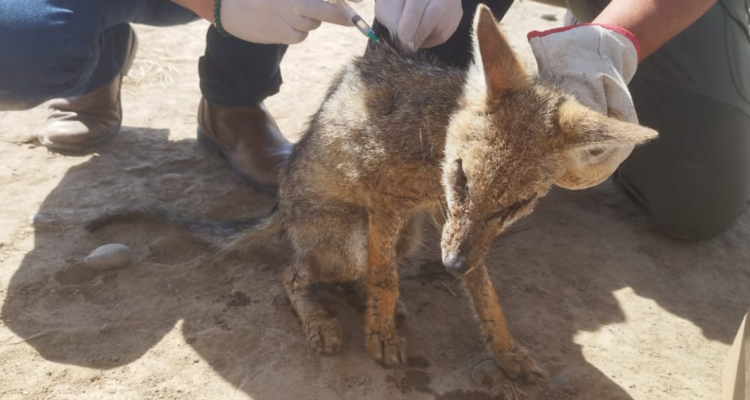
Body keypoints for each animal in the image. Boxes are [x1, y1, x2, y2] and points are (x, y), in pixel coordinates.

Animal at [86, 5, 657, 382]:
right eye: (461, 178)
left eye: (516, 206)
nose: (451, 266)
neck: (432, 138)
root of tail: (282, 209)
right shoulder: (386, 204)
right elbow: (384, 279)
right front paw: (380, 337)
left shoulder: (450, 229)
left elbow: (485, 294)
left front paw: (506, 350)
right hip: (351, 237)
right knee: (292, 273)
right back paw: (324, 320)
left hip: (409, 237)